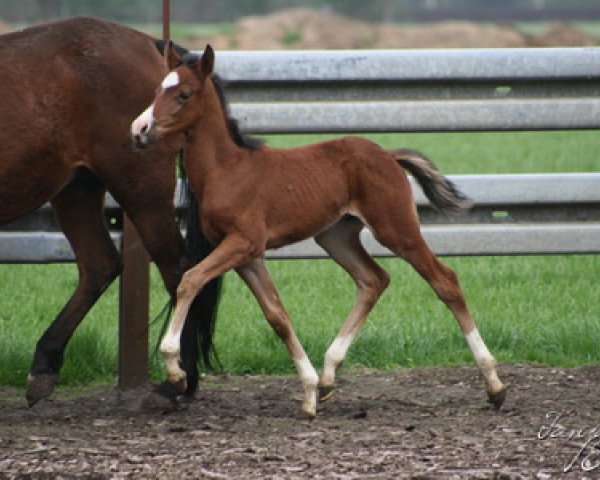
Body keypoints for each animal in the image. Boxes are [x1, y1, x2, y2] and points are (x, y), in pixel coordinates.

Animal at [0, 17, 220, 408]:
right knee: (100, 265)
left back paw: (179, 381)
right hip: (77, 190)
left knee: (179, 271)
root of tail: (152, 43)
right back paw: (43, 367)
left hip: (141, 191)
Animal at [131, 44, 506, 420]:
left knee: (445, 280)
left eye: (183, 94)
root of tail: (388, 154)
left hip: (396, 230)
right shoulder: (246, 255)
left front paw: (174, 369)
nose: (139, 129)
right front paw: (310, 392)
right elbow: (277, 316)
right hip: (335, 236)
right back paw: (327, 377)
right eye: (156, 90)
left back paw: (495, 385)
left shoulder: (243, 242)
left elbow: (190, 279)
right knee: (373, 280)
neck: (226, 170)